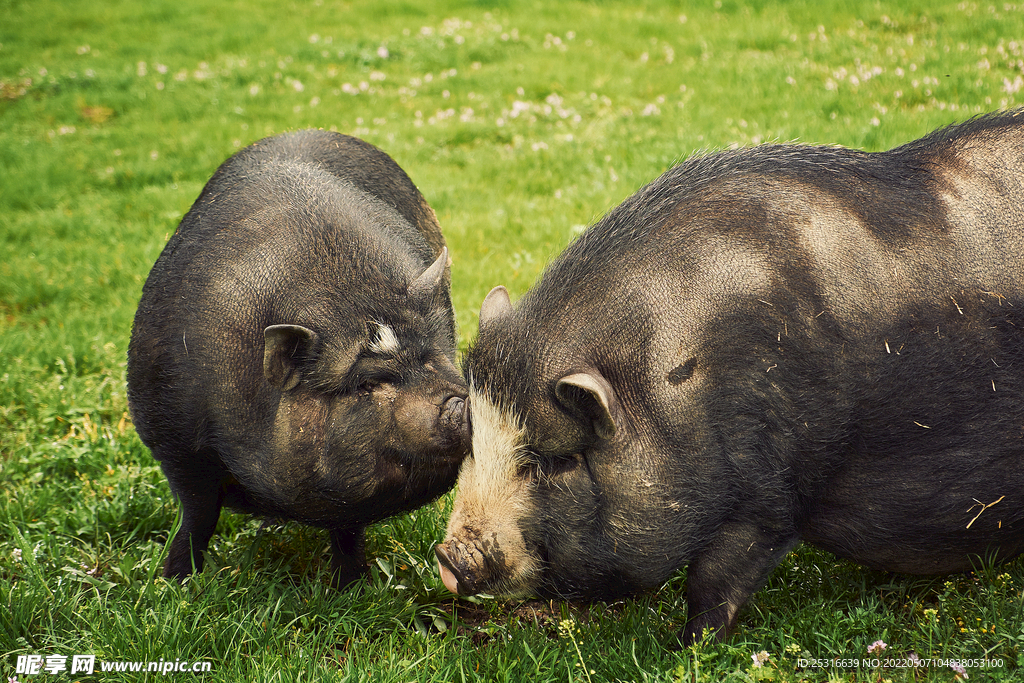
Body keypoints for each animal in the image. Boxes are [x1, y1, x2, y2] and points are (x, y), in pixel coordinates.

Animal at [125, 129, 468, 589]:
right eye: (365, 383)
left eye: (431, 357)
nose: (460, 404)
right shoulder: (171, 436)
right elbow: (198, 516)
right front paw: (177, 584)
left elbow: (348, 530)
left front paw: (350, 589)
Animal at [436, 109, 1024, 643]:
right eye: (473, 441)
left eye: (553, 462)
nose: (447, 557)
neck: (675, 387)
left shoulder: (768, 495)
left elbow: (714, 582)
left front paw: (687, 649)